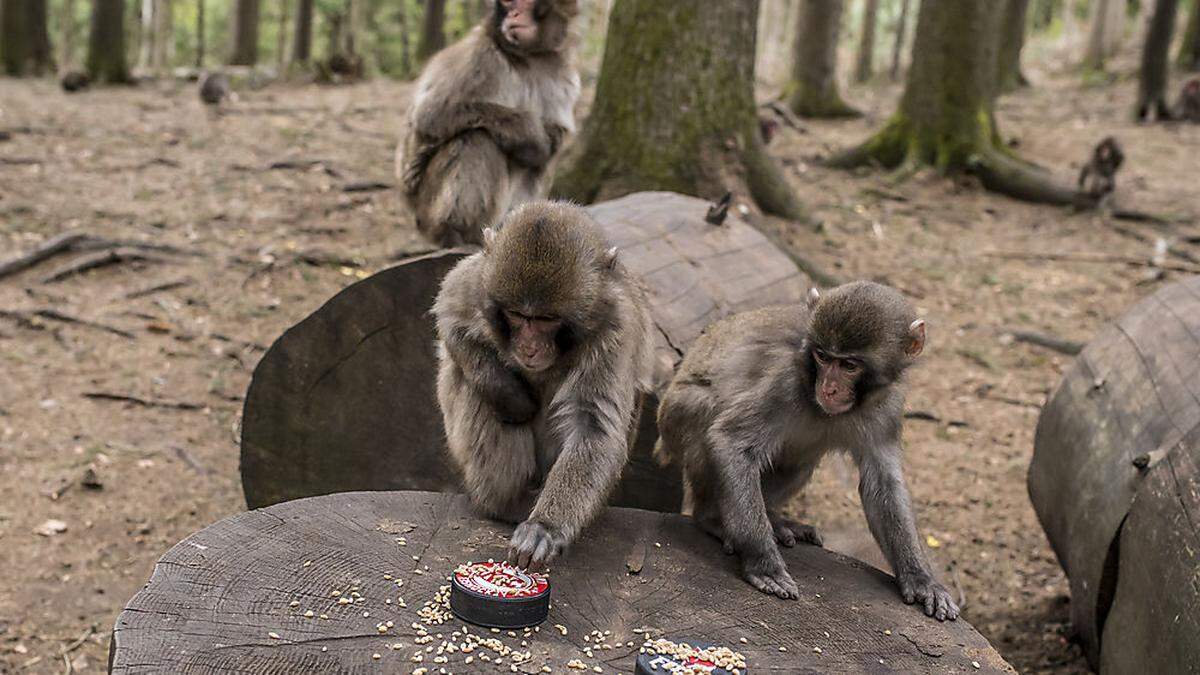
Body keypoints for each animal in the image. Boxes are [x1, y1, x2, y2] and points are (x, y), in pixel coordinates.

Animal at [398, 0, 580, 247]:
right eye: (508, 3)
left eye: (523, 3)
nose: (513, 14)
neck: (529, 58)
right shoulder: (480, 55)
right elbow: (432, 114)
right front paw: (531, 132)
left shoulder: (563, 75)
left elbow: (556, 134)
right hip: (426, 208)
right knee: (477, 137)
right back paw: (454, 232)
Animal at [434, 200, 652, 566]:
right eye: (518, 316)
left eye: (547, 320)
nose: (529, 348)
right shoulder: (478, 280)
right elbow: (449, 316)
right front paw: (510, 395)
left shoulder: (616, 328)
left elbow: (593, 426)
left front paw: (545, 528)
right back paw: (505, 500)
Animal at [652, 281, 960, 619]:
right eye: (823, 357)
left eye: (849, 365)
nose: (828, 388)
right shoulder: (784, 383)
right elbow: (731, 441)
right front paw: (763, 563)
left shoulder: (888, 407)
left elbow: (882, 484)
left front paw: (920, 578)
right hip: (678, 418)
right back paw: (712, 517)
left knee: (800, 462)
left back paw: (775, 519)